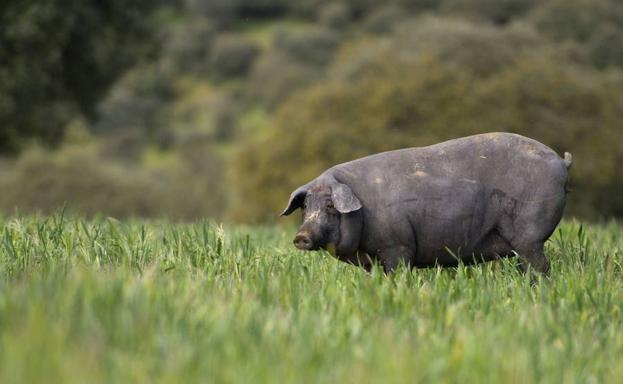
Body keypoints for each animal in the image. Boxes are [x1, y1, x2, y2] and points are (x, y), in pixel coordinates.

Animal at [282, 132, 576, 272]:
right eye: (306, 206)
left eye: (331, 205)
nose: (301, 236)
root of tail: (560, 162)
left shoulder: (398, 247)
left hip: (530, 234)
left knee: (538, 266)